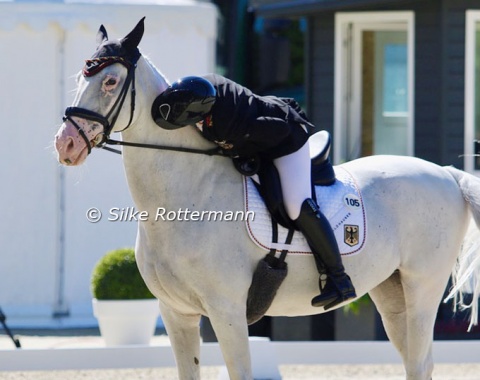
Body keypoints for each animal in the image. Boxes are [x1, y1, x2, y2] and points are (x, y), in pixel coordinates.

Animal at [54, 19, 478, 378]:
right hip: (392, 291)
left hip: (423, 287)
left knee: (419, 362)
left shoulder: (226, 311)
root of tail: (446, 173)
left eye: (110, 81)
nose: (66, 144)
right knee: (413, 361)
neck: (185, 195)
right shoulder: (176, 313)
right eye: (80, 78)